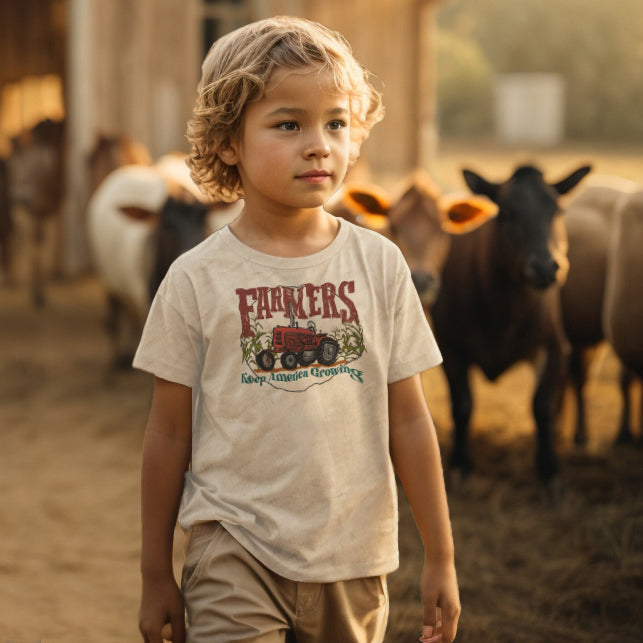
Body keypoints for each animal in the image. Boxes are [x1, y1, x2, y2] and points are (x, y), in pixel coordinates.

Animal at [6, 119, 65, 308]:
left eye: (44, 160)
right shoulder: (37, 209)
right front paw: (37, 293)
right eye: (13, 163)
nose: (20, 196)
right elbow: (36, 242)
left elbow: (41, 242)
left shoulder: (47, 208)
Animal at [430, 165, 592, 488]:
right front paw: (460, 464)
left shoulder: (554, 346)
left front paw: (549, 469)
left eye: (557, 210)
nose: (545, 267)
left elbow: (542, 405)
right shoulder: (449, 346)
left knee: (577, 381)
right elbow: (462, 404)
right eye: (504, 213)